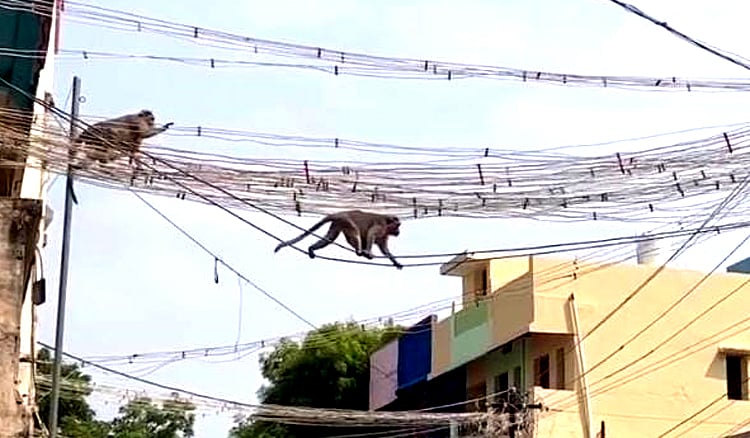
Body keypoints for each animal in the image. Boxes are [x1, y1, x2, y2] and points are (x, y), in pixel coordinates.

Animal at [274, 209, 404, 269]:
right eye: (398, 225)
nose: (399, 231)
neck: (387, 224)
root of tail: (340, 213)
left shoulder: (384, 234)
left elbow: (384, 249)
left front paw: (396, 262)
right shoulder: (380, 226)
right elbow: (370, 234)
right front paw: (368, 251)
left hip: (338, 223)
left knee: (329, 238)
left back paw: (311, 249)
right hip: (346, 221)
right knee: (354, 231)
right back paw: (359, 251)